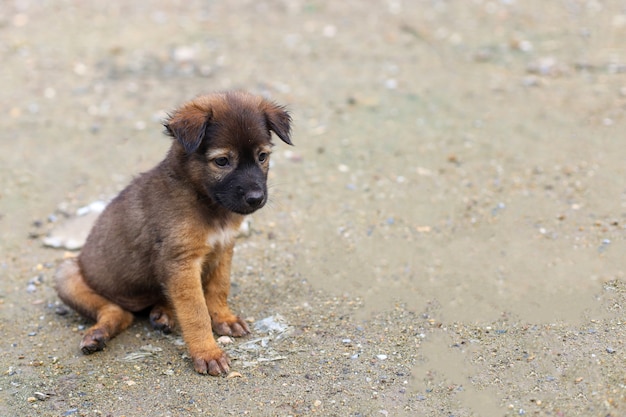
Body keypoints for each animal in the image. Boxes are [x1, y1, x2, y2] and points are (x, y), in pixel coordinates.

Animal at [53, 92, 290, 376]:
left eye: (262, 156)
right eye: (222, 161)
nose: (256, 198)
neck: (204, 200)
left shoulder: (224, 248)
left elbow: (218, 289)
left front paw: (224, 318)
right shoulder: (182, 262)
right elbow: (196, 312)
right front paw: (207, 352)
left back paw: (162, 313)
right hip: (67, 273)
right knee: (117, 312)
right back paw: (98, 334)